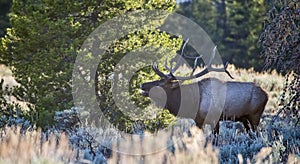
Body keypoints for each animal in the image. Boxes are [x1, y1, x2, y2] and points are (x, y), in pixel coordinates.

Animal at [139, 40, 268, 133]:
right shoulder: (198, 121)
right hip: (244, 119)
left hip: (255, 115)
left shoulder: (215, 119)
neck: (193, 103)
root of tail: (266, 95)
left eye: (159, 84)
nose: (142, 84)